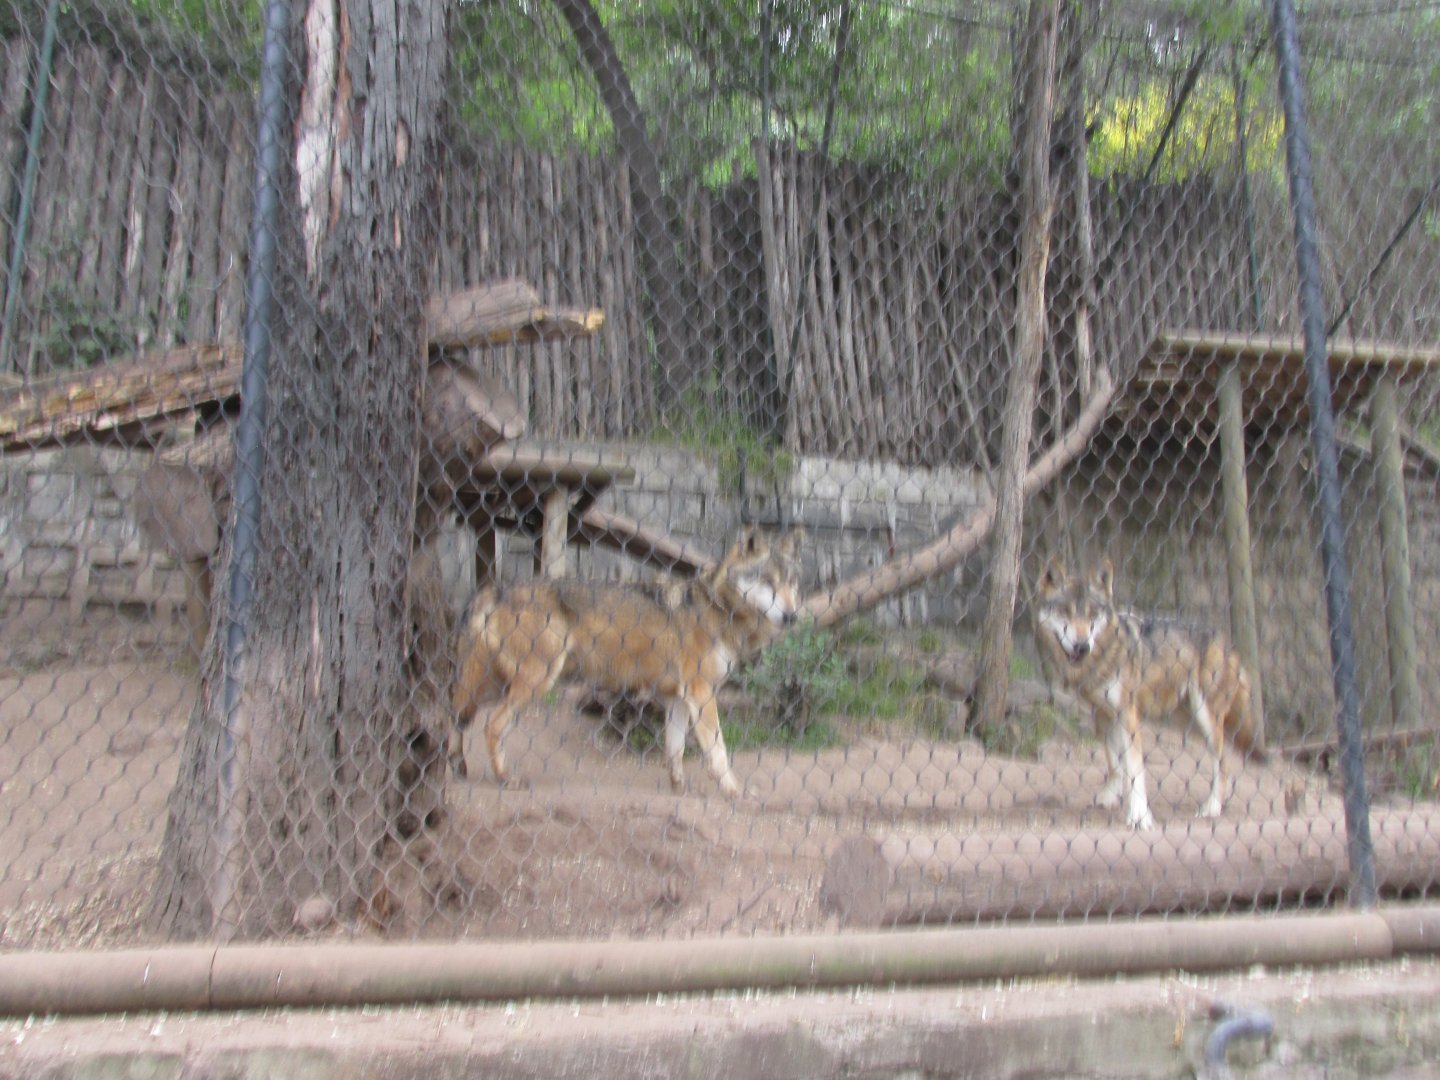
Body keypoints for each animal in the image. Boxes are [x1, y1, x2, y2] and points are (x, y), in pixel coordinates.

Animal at [448, 528, 805, 797]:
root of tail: (496, 589)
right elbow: (718, 750)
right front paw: (733, 790)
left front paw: (678, 787)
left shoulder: (677, 699)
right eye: (768, 582)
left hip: (497, 686)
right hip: (532, 684)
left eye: (791, 583)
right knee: (490, 726)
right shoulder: (702, 694)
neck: (718, 610)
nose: (791, 616)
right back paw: (504, 777)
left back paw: (457, 766)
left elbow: (675, 750)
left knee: (456, 714)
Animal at [1033, 556, 1260, 830]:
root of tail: (1227, 642)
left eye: (1092, 615)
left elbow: (1134, 768)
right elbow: (1114, 763)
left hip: (1205, 717)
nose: (1082, 646)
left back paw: (1212, 807)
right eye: (1065, 611)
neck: (1102, 658)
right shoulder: (1103, 714)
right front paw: (1110, 797)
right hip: (1186, 720)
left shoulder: (1128, 714)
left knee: (1222, 761)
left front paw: (1139, 816)